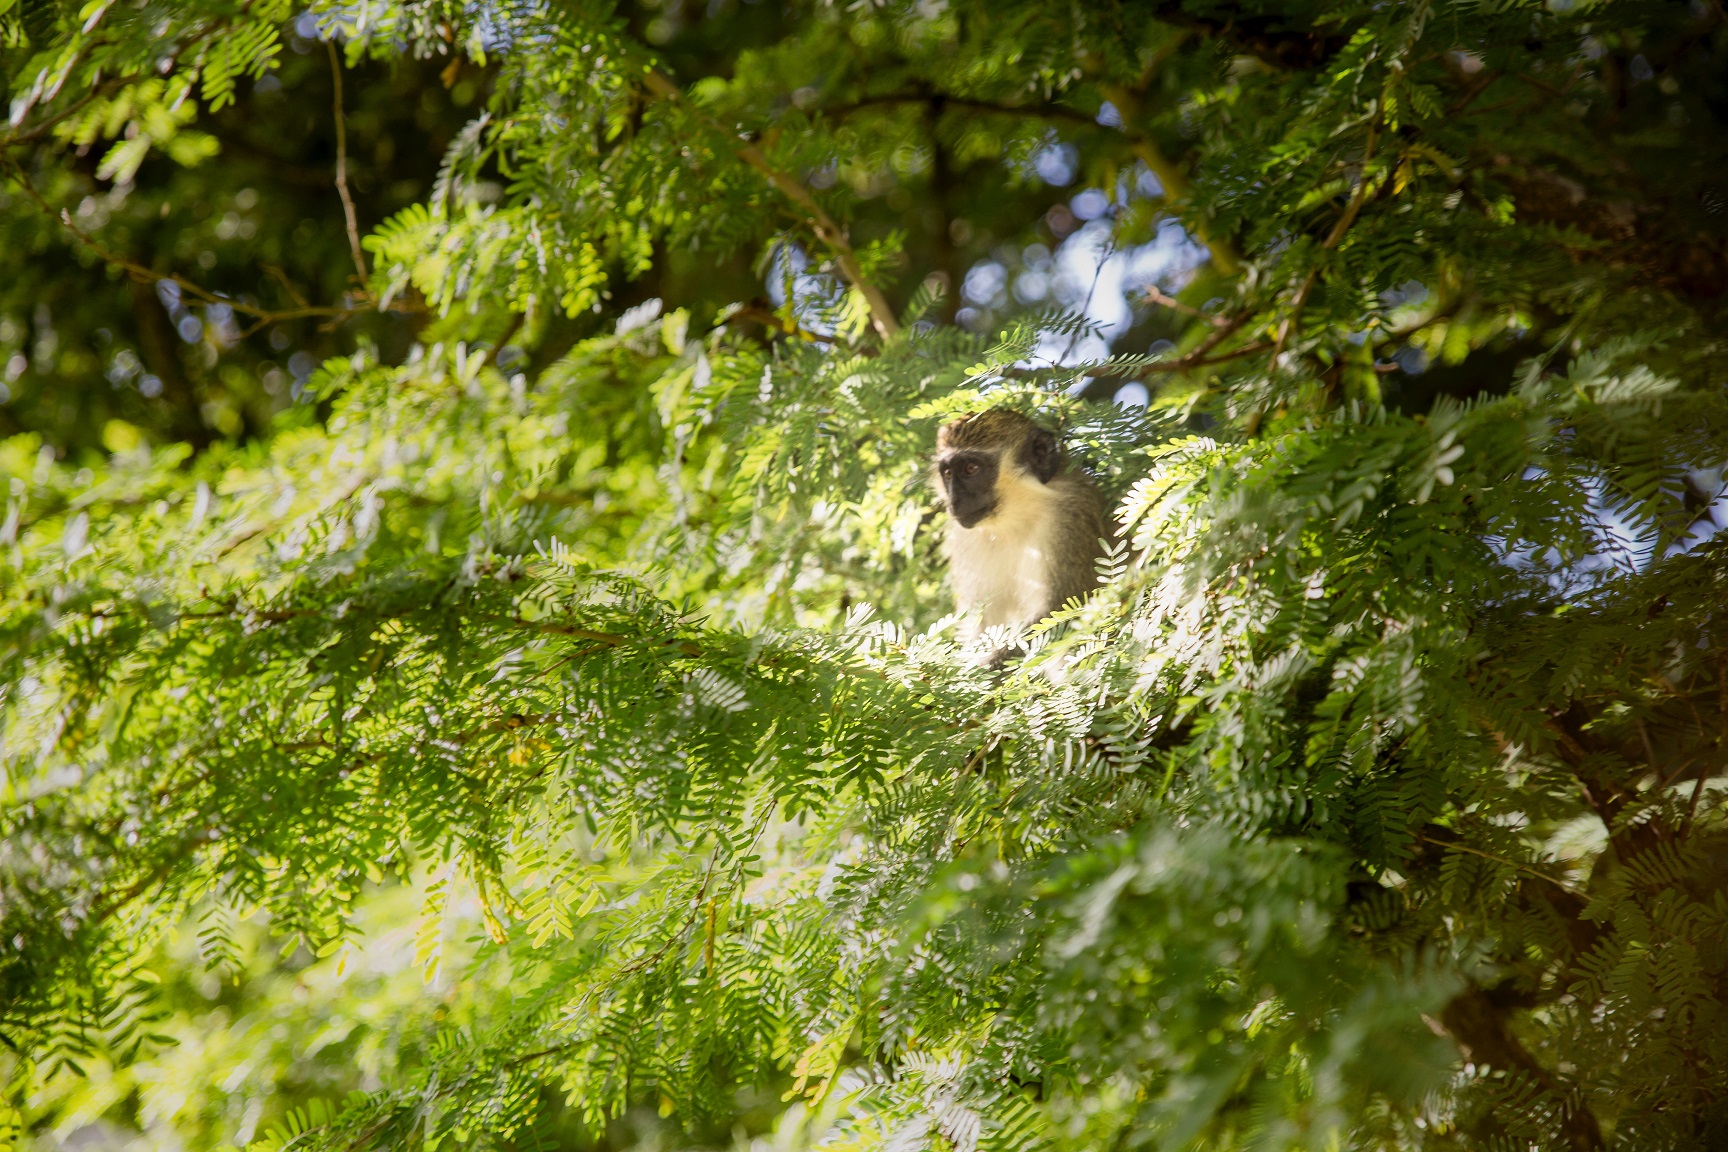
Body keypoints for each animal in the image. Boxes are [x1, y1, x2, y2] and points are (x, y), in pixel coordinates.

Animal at [933, 409, 1105, 652]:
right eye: (948, 473)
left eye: (971, 469)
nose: (954, 501)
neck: (1013, 521)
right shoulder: (965, 538)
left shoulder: (1069, 519)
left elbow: (1061, 612)